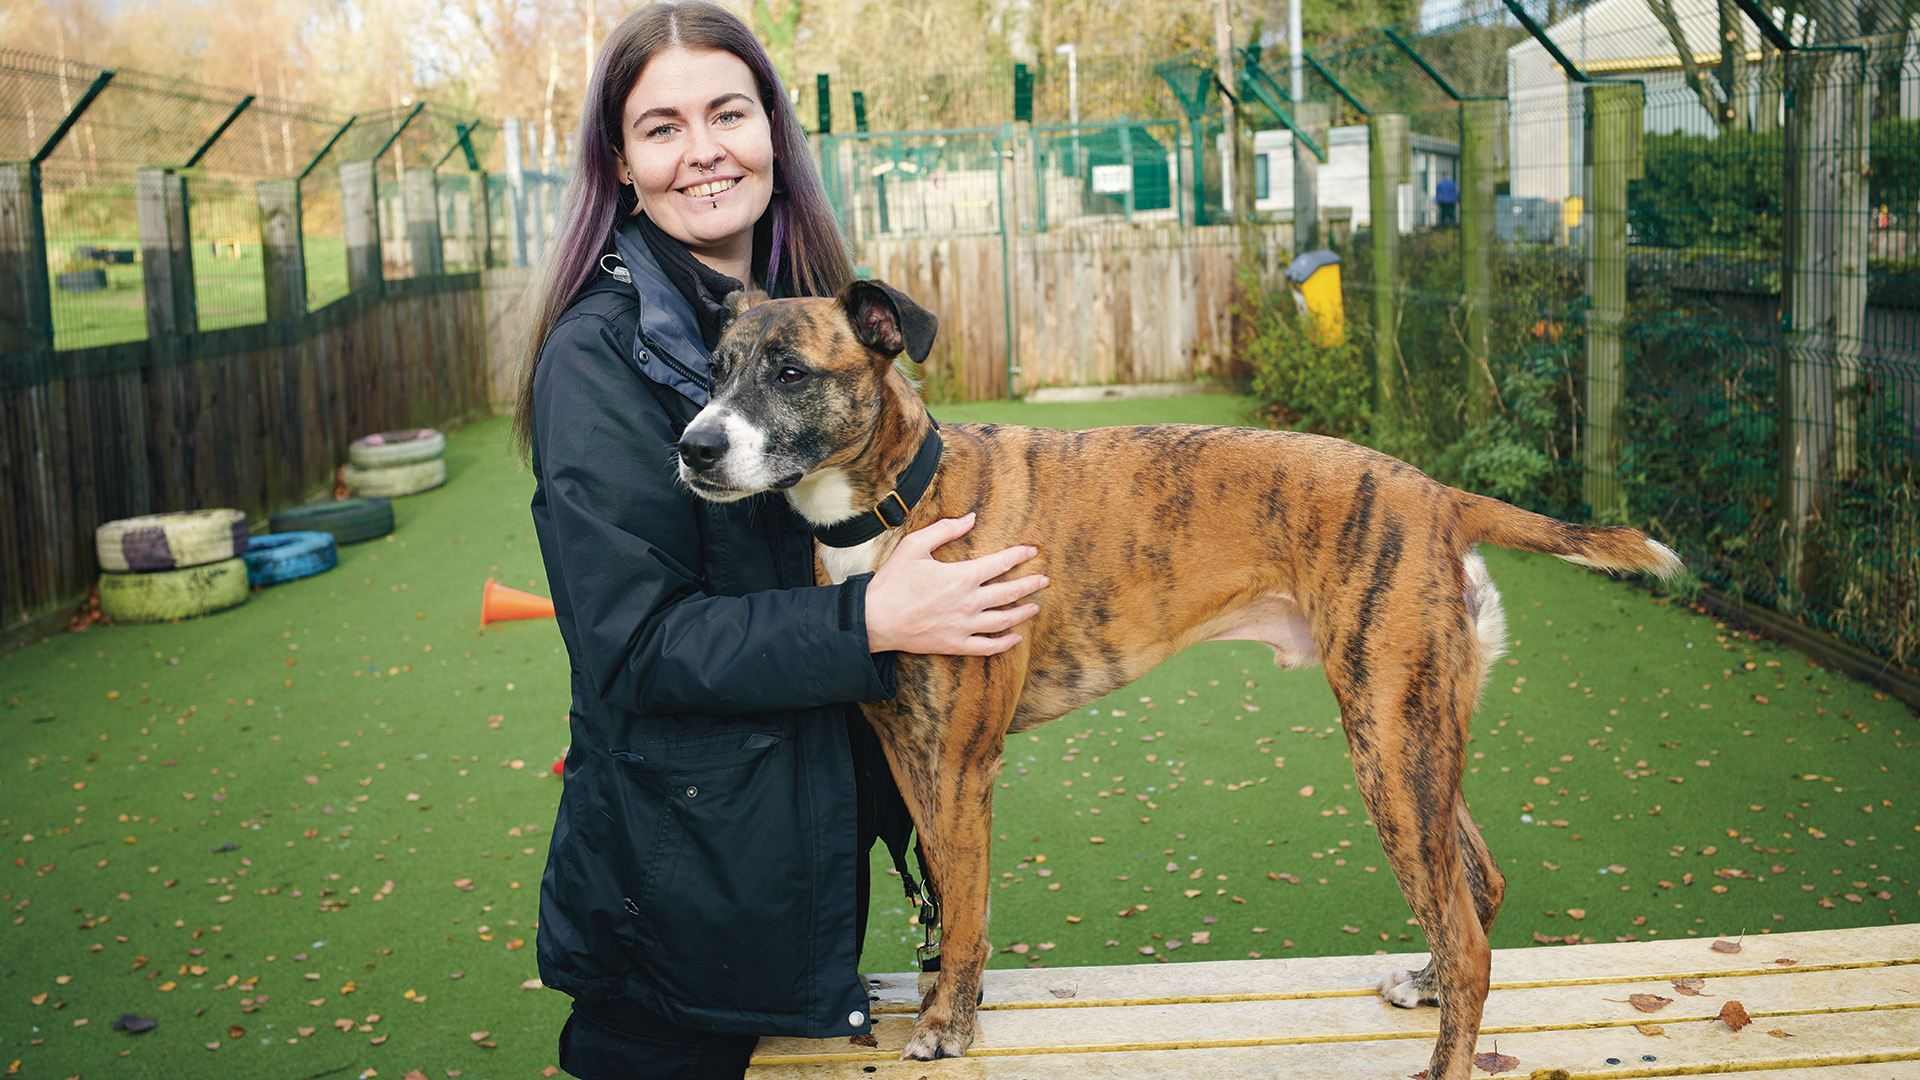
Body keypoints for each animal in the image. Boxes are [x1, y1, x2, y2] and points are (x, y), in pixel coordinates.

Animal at [679, 278, 1681, 1076]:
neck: (899, 503)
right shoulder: (912, 757)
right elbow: (957, 895)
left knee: (1469, 935)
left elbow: (962, 911)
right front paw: (944, 1005)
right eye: (713, 372)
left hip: (1390, 746)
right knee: (1473, 886)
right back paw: (1427, 983)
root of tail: (1440, 496)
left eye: (791, 372)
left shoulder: (963, 764)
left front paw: (946, 1026)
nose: (693, 447)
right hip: (1417, 740)